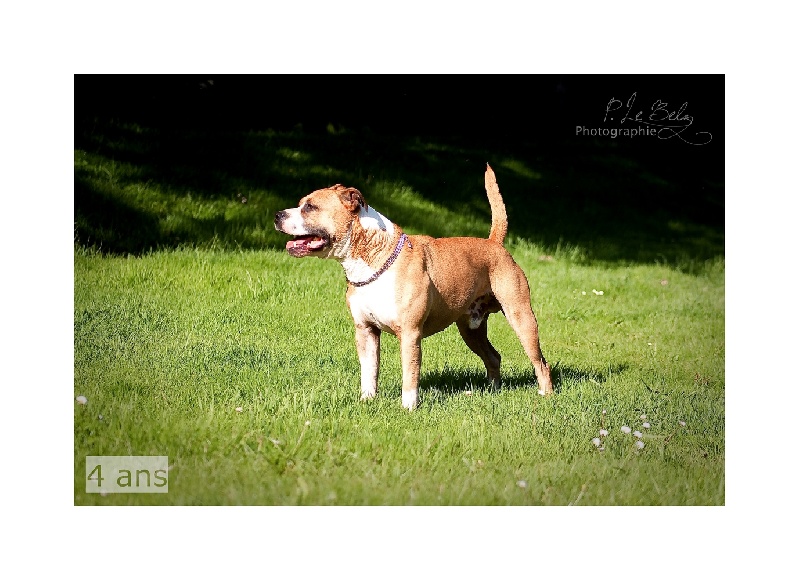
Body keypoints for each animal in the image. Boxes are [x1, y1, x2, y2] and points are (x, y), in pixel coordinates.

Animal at [274, 163, 552, 408]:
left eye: (310, 207)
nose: (278, 215)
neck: (374, 257)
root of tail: (493, 243)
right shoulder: (365, 331)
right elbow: (369, 371)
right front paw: (367, 401)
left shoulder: (410, 333)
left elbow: (410, 373)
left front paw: (408, 407)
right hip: (470, 329)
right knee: (493, 357)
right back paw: (493, 392)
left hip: (521, 317)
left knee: (540, 362)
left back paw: (546, 395)